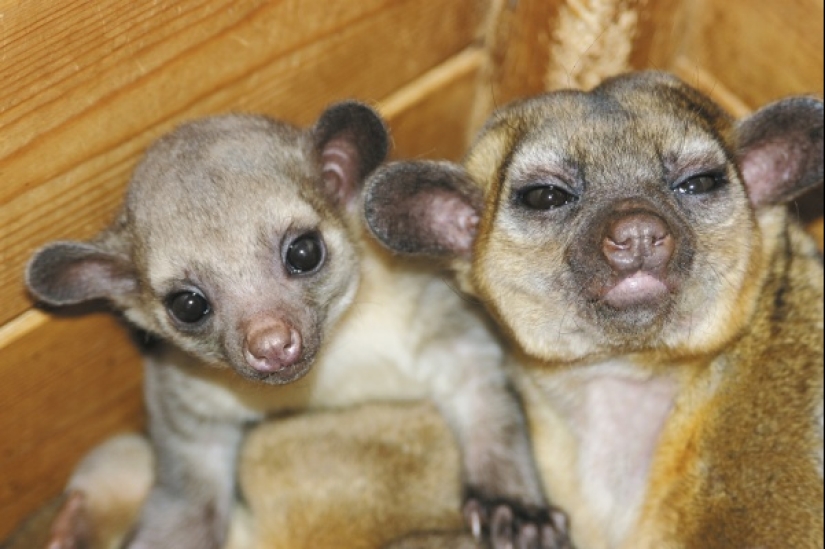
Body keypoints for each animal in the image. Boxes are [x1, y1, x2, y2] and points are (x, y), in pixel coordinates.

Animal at [24, 101, 568, 548]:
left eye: (304, 252)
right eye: (188, 305)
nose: (270, 344)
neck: (331, 370)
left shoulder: (422, 299)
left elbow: (478, 383)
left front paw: (514, 509)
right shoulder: (189, 389)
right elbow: (189, 470)